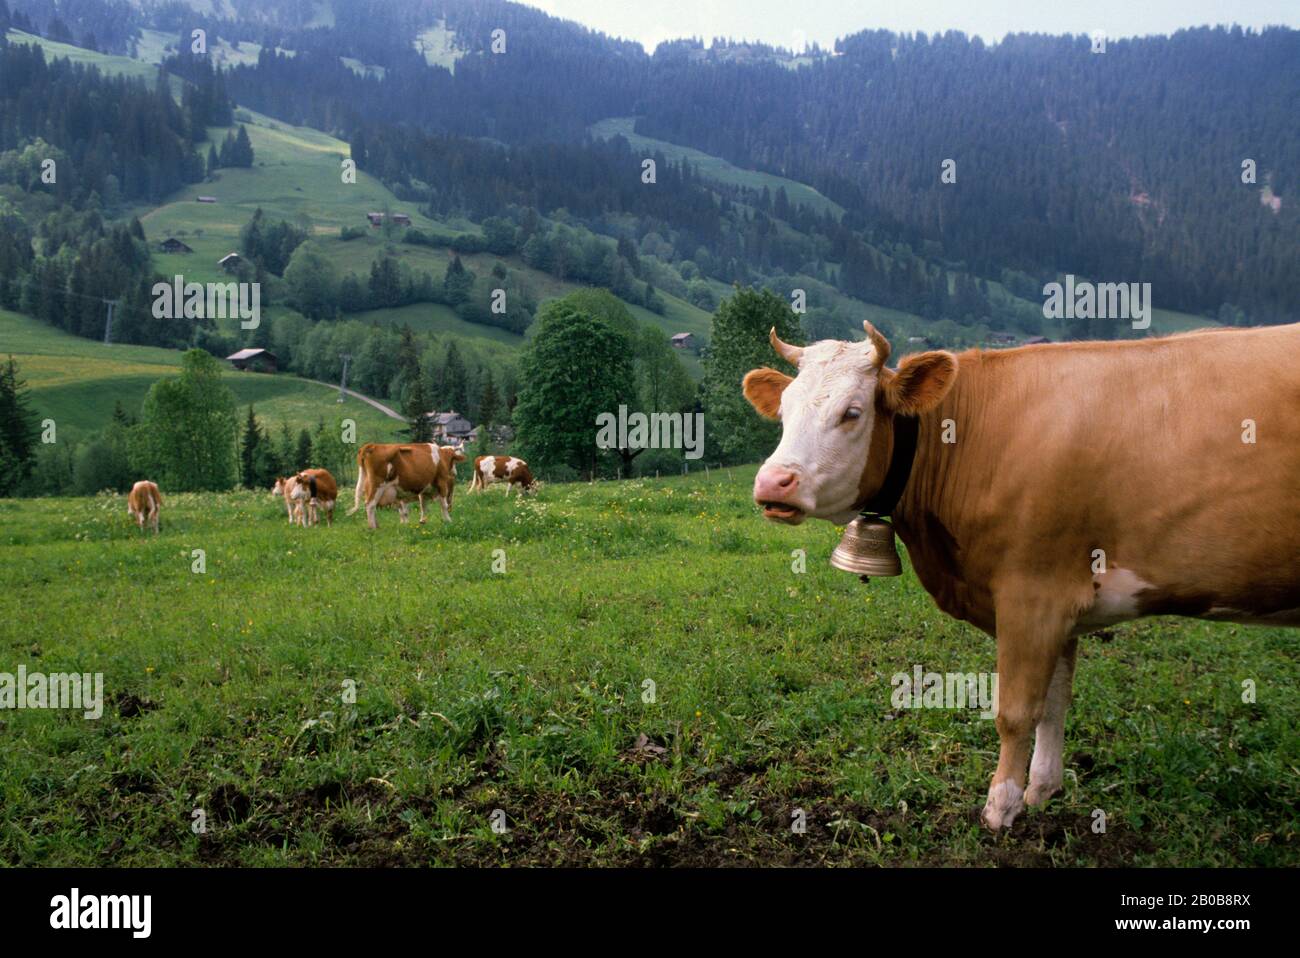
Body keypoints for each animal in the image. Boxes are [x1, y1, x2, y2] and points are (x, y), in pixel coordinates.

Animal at [744, 321, 1300, 831]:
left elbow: (1015, 711)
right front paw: (1041, 789)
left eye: (852, 413)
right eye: (784, 412)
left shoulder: (1033, 593)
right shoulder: (1064, 606)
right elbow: (1053, 702)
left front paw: (1000, 807)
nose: (773, 482)